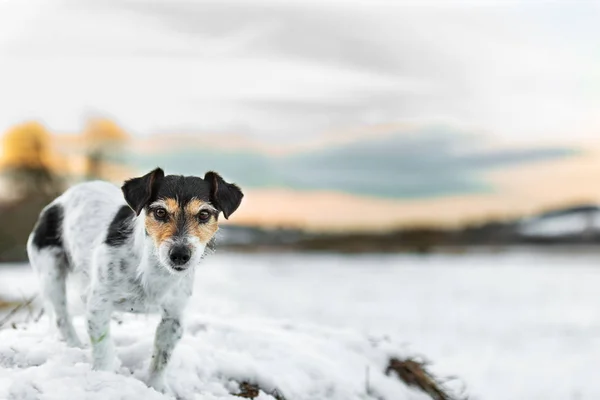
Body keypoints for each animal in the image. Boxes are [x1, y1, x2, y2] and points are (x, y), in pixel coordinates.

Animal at [27, 168, 244, 394]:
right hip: (51, 276)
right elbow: (103, 349)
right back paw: (74, 345)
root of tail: (60, 200)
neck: (152, 269)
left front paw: (157, 388)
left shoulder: (173, 318)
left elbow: (161, 358)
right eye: (160, 212)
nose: (180, 254)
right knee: (61, 318)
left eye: (204, 214)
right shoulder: (98, 305)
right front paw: (105, 379)